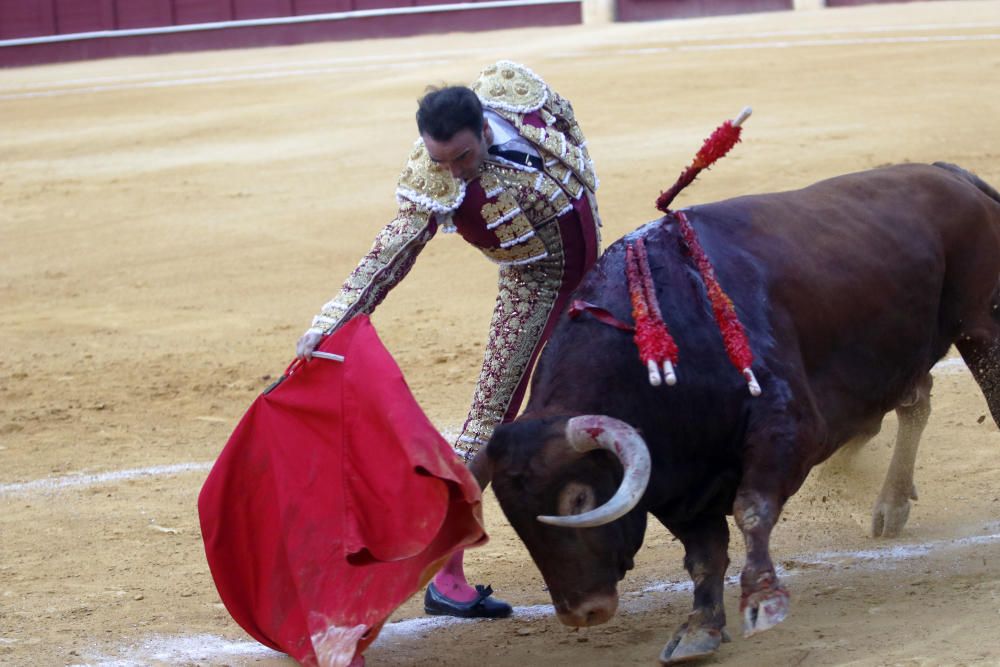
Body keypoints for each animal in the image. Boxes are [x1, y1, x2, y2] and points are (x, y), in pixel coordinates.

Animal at [484, 164, 1000, 664]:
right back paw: (888, 500)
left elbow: (751, 508)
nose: (581, 612)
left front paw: (762, 599)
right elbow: (704, 555)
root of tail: (950, 174)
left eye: (578, 499)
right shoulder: (677, 481)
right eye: (513, 517)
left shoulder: (788, 429)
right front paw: (699, 629)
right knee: (914, 398)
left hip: (979, 329)